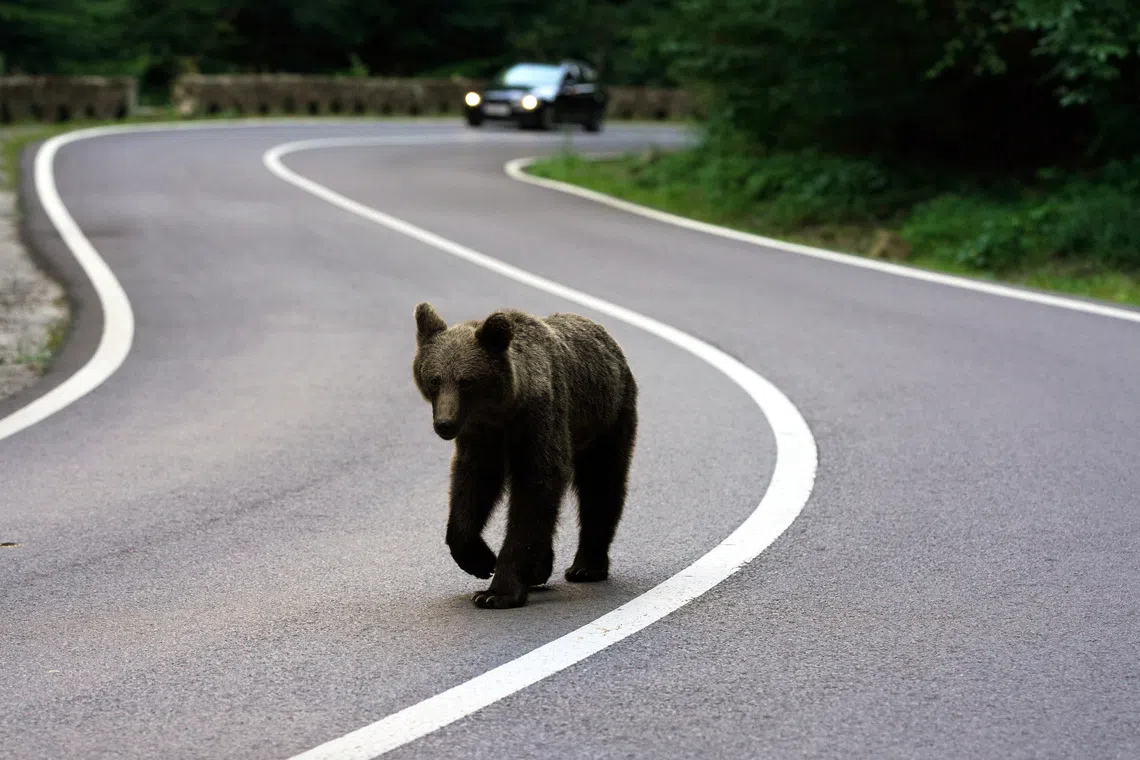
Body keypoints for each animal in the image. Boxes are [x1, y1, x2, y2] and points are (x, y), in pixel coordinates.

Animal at [412, 302, 638, 610]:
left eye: (466, 381)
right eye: (434, 379)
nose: (444, 424)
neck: (503, 411)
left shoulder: (539, 421)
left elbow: (536, 489)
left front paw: (497, 592)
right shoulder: (481, 438)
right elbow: (471, 487)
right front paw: (481, 560)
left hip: (607, 418)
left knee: (601, 484)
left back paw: (586, 566)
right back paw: (541, 568)